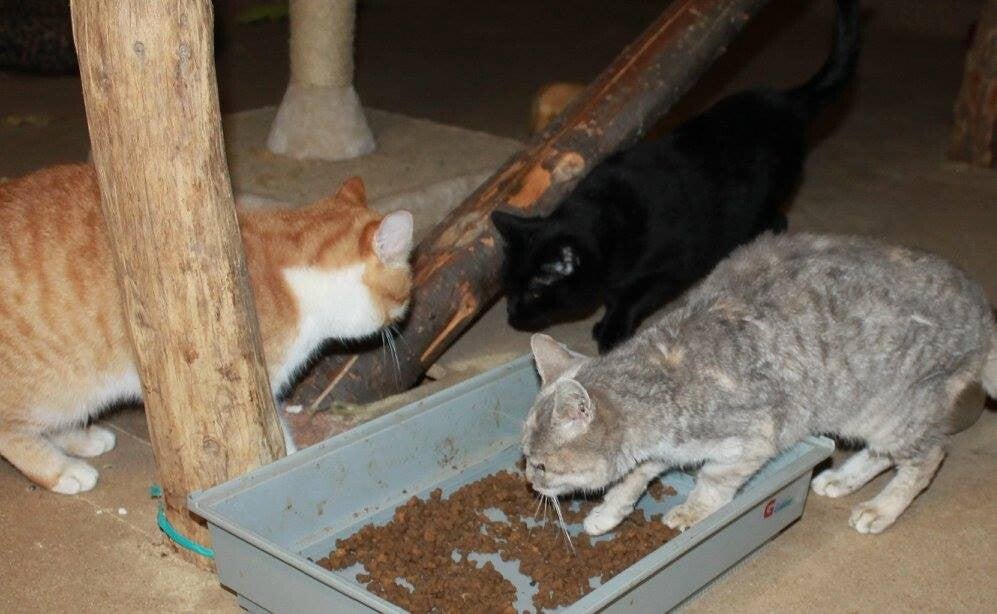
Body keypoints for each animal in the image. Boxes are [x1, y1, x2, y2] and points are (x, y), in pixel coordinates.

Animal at [0, 163, 414, 494]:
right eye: (406, 290)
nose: (405, 314)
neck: (294, 282)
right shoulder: (255, 386)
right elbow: (277, 441)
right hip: (53, 385)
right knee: (12, 432)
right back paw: (62, 471)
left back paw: (84, 440)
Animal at [493, 0, 860, 354]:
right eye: (508, 287)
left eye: (533, 293)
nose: (511, 315)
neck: (609, 217)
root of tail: (786, 100)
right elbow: (614, 295)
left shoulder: (668, 270)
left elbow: (630, 299)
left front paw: (612, 332)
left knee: (775, 221)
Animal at [521, 233, 996, 535]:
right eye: (523, 457)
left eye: (541, 465)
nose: (529, 481)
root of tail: (984, 312)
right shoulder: (659, 449)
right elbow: (632, 479)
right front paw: (607, 514)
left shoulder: (749, 440)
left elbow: (711, 481)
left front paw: (690, 511)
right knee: (885, 455)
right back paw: (842, 480)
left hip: (893, 410)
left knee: (927, 457)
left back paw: (879, 509)